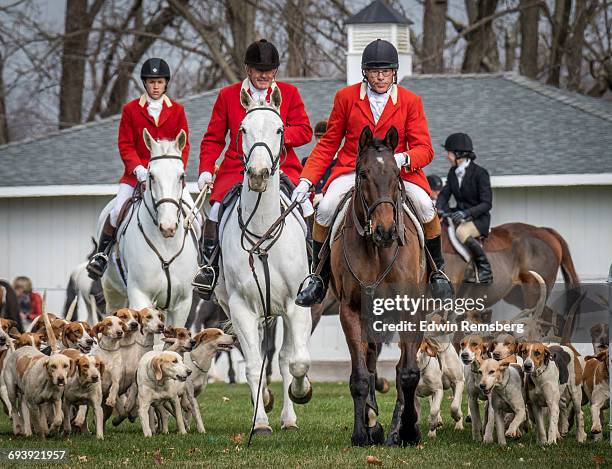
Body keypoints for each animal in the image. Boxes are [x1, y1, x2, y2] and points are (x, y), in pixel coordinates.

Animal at [97, 128, 198, 326]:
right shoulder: (140, 295)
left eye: (181, 176)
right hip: (112, 291)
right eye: (151, 176)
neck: (166, 245)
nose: (168, 227)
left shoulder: (182, 303)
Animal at [330, 125, 426, 446]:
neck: (377, 250)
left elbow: (407, 373)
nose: (385, 231)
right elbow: (360, 377)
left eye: (396, 173)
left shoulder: (410, 311)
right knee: (370, 362)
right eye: (363, 174)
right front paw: (362, 432)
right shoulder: (350, 311)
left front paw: (408, 429)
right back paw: (373, 423)